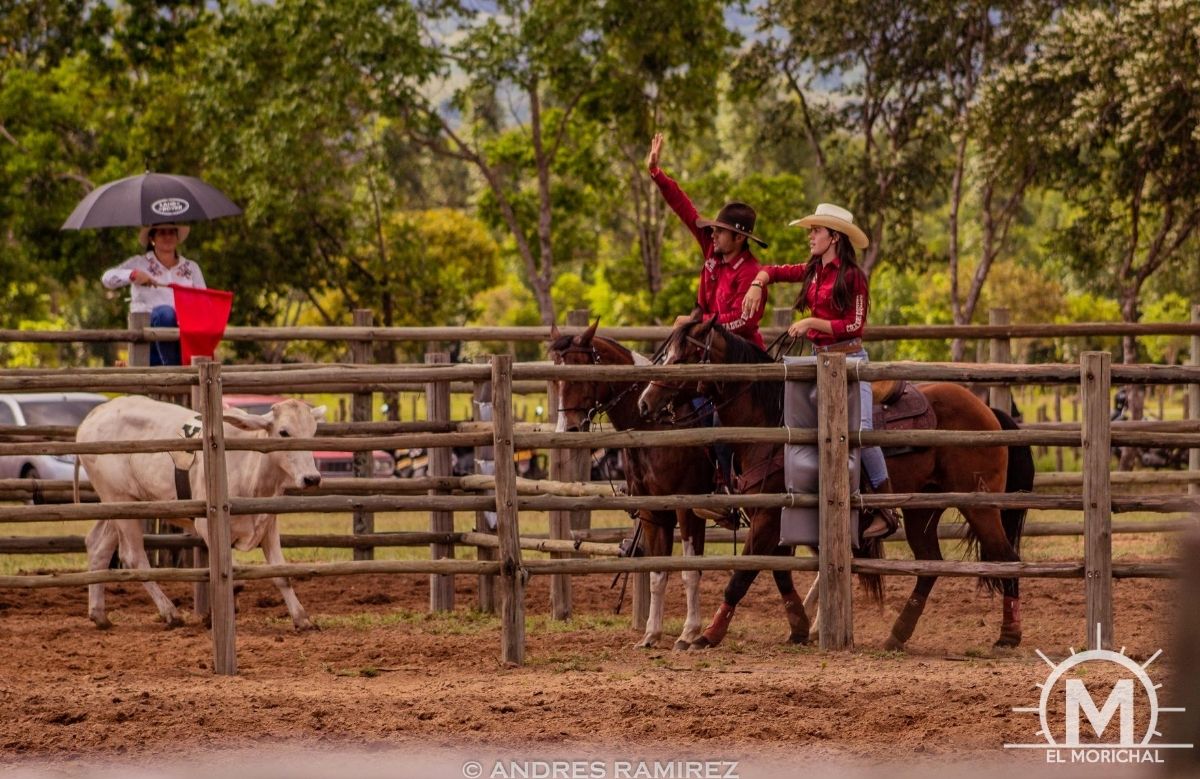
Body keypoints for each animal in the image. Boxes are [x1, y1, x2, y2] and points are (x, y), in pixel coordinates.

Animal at [78, 398, 326, 628]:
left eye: (312, 432)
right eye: (284, 432)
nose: (312, 478)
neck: (250, 468)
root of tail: (95, 415)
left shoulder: (268, 525)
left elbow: (281, 575)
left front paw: (302, 618)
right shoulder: (206, 526)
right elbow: (234, 579)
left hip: (123, 505)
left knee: (98, 545)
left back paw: (99, 615)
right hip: (120, 500)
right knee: (133, 556)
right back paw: (170, 612)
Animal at [549, 319, 715, 648]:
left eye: (580, 373)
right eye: (554, 378)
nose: (567, 429)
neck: (655, 425)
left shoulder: (688, 507)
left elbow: (690, 571)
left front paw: (689, 632)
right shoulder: (653, 511)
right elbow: (658, 572)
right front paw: (651, 634)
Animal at [638, 316, 1032, 648]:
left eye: (685, 354)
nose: (645, 402)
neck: (773, 424)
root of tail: (988, 410)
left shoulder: (769, 516)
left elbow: (742, 575)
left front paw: (707, 635)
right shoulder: (775, 518)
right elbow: (779, 572)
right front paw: (798, 628)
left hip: (978, 504)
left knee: (1006, 557)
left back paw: (1008, 636)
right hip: (923, 509)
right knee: (929, 565)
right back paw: (897, 635)